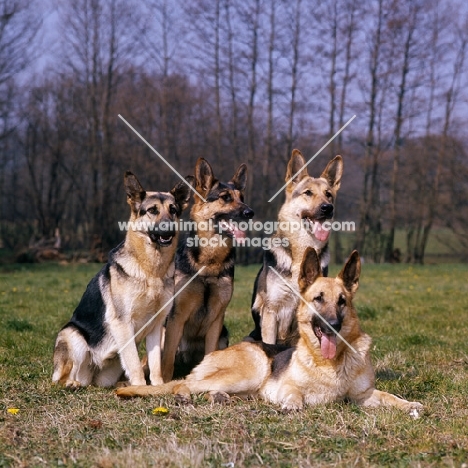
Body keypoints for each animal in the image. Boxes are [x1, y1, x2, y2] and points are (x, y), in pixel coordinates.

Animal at [54, 172, 193, 388]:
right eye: (152, 210)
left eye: (173, 210)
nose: (169, 230)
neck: (151, 271)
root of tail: (90, 375)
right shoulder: (123, 324)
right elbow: (135, 362)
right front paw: (140, 387)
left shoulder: (156, 326)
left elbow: (155, 363)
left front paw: (157, 386)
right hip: (73, 336)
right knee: (60, 378)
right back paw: (71, 384)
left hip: (107, 374)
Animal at [117, 249, 424, 416]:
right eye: (318, 299)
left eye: (342, 302)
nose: (333, 326)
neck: (330, 362)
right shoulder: (285, 386)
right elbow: (294, 395)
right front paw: (293, 405)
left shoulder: (364, 396)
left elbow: (391, 398)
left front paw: (410, 404)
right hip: (253, 368)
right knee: (183, 384)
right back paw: (186, 395)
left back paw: (219, 398)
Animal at [162, 159, 256, 382]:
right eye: (225, 197)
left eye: (242, 198)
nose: (250, 213)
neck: (210, 262)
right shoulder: (176, 319)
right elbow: (167, 361)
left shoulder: (216, 320)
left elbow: (210, 354)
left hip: (223, 336)